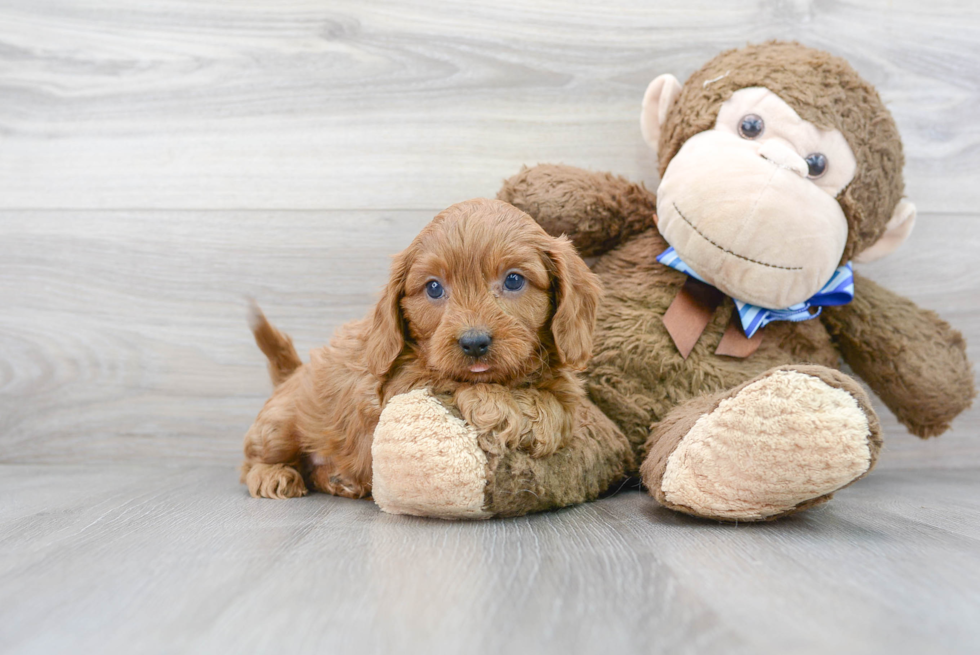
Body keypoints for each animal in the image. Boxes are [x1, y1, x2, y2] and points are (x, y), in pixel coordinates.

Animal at [241, 197, 600, 500]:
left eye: (514, 280)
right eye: (434, 288)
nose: (474, 342)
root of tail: (292, 375)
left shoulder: (566, 389)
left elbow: (559, 409)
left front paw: (534, 417)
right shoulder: (396, 386)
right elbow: (447, 379)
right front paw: (497, 406)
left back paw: (337, 479)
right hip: (280, 425)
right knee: (251, 461)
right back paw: (274, 475)